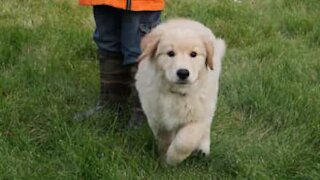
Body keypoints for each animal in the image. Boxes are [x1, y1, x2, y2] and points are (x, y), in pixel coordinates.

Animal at [135, 19, 225, 165]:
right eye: (170, 53)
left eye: (193, 54)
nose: (183, 73)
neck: (177, 93)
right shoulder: (158, 119)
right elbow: (164, 140)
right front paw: (164, 160)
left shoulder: (198, 117)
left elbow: (185, 142)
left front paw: (172, 159)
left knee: (207, 126)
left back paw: (203, 148)